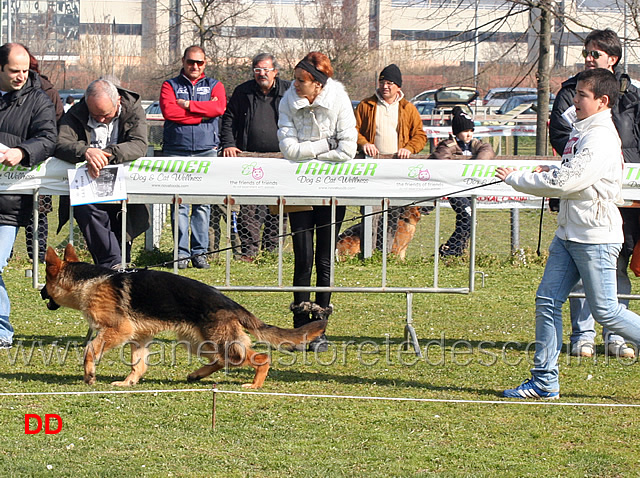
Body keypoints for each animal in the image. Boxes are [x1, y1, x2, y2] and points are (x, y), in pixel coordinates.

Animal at [42, 245, 328, 386]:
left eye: (45, 281)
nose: (41, 292)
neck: (89, 281)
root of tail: (231, 303)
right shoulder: (138, 337)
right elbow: (138, 363)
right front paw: (128, 382)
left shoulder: (118, 331)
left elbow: (90, 349)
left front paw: (89, 375)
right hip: (196, 342)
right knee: (223, 360)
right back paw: (197, 375)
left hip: (217, 341)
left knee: (258, 358)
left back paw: (255, 385)